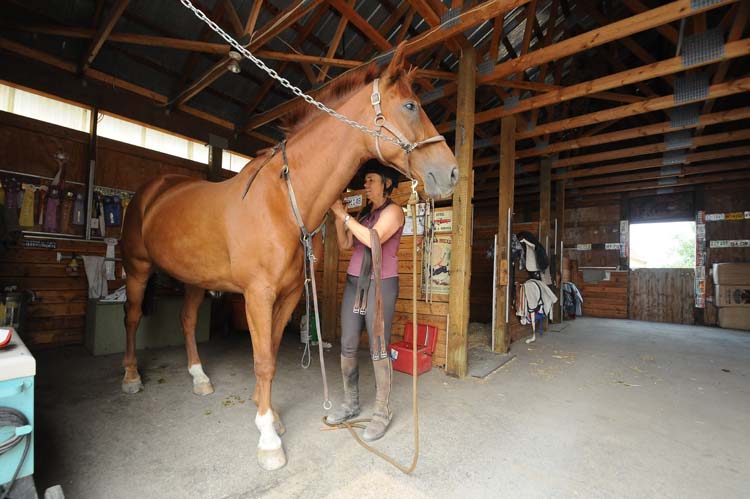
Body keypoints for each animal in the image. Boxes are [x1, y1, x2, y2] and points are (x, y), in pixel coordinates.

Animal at [122, 44, 458, 472]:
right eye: (411, 105)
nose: (451, 173)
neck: (282, 201)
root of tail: (153, 190)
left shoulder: (290, 295)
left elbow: (269, 352)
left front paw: (267, 413)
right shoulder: (258, 295)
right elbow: (264, 359)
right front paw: (268, 437)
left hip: (196, 279)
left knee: (186, 320)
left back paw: (200, 378)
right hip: (137, 269)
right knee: (132, 318)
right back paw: (131, 377)